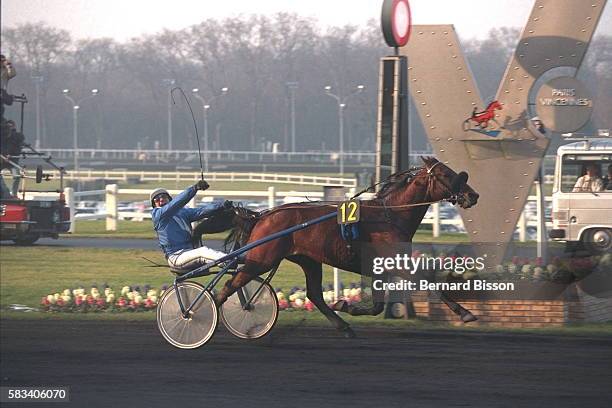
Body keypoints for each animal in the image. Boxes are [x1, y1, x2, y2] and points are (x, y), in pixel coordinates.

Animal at [215, 158, 478, 336]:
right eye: (446, 174)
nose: (473, 195)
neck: (390, 215)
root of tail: (262, 215)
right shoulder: (396, 262)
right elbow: (429, 283)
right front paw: (465, 313)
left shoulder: (380, 269)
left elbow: (378, 306)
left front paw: (344, 305)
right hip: (262, 259)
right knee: (229, 285)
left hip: (308, 260)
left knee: (314, 294)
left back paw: (343, 325)